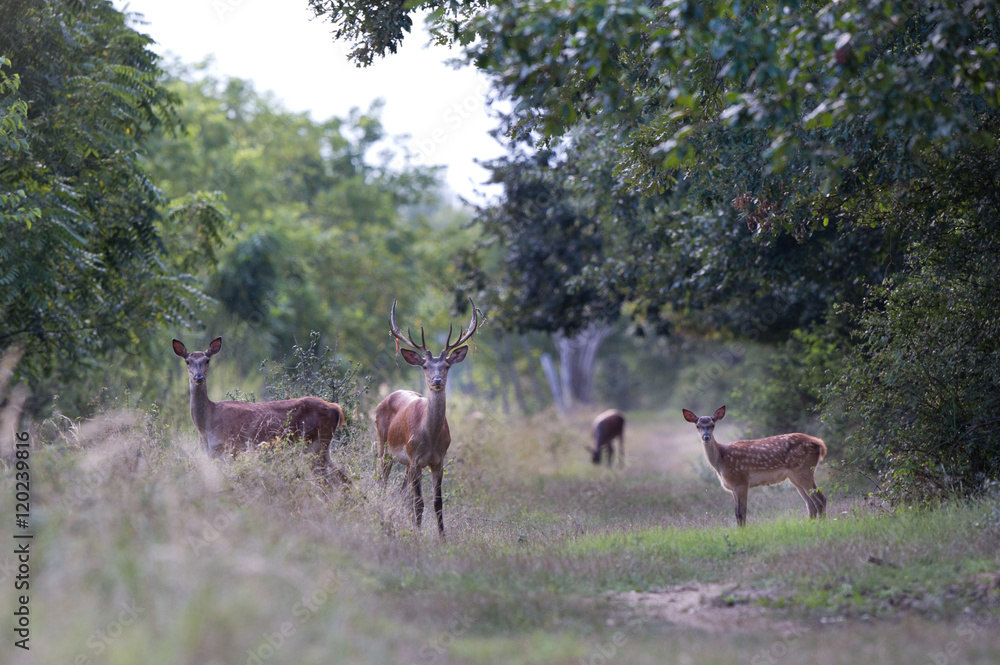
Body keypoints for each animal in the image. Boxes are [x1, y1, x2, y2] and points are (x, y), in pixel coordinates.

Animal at [172, 337, 348, 486]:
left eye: (207, 360)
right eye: (187, 361)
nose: (199, 377)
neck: (205, 425)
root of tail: (336, 408)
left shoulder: (229, 449)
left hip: (316, 445)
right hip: (322, 447)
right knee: (342, 475)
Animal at [375, 298, 482, 537]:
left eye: (446, 365)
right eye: (425, 366)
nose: (437, 380)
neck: (430, 437)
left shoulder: (438, 460)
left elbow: (437, 503)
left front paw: (442, 538)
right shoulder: (415, 458)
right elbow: (419, 502)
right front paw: (417, 535)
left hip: (405, 461)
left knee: (402, 492)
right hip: (384, 447)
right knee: (383, 484)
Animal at [682, 405, 826, 526]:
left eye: (712, 425)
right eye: (698, 426)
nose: (706, 437)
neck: (721, 460)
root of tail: (819, 443)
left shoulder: (741, 481)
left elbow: (741, 513)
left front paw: (743, 532)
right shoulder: (733, 487)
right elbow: (736, 514)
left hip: (803, 469)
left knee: (820, 499)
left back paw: (822, 524)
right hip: (795, 477)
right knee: (810, 504)